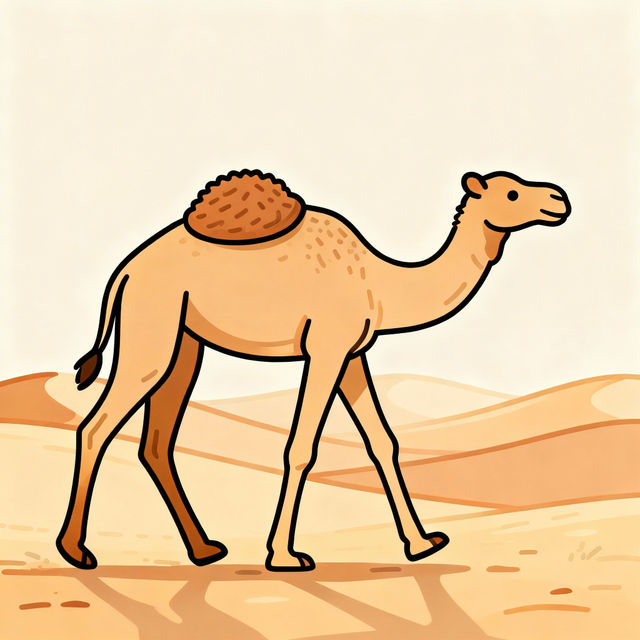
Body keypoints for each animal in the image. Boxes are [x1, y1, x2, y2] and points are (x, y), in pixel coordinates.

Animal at [57, 169, 571, 571]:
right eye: (511, 193)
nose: (559, 200)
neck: (380, 282)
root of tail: (126, 270)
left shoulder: (353, 353)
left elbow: (383, 442)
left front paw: (423, 543)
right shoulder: (325, 347)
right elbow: (301, 447)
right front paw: (285, 557)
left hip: (184, 340)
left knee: (157, 441)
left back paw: (204, 551)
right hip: (152, 330)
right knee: (97, 426)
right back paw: (76, 552)